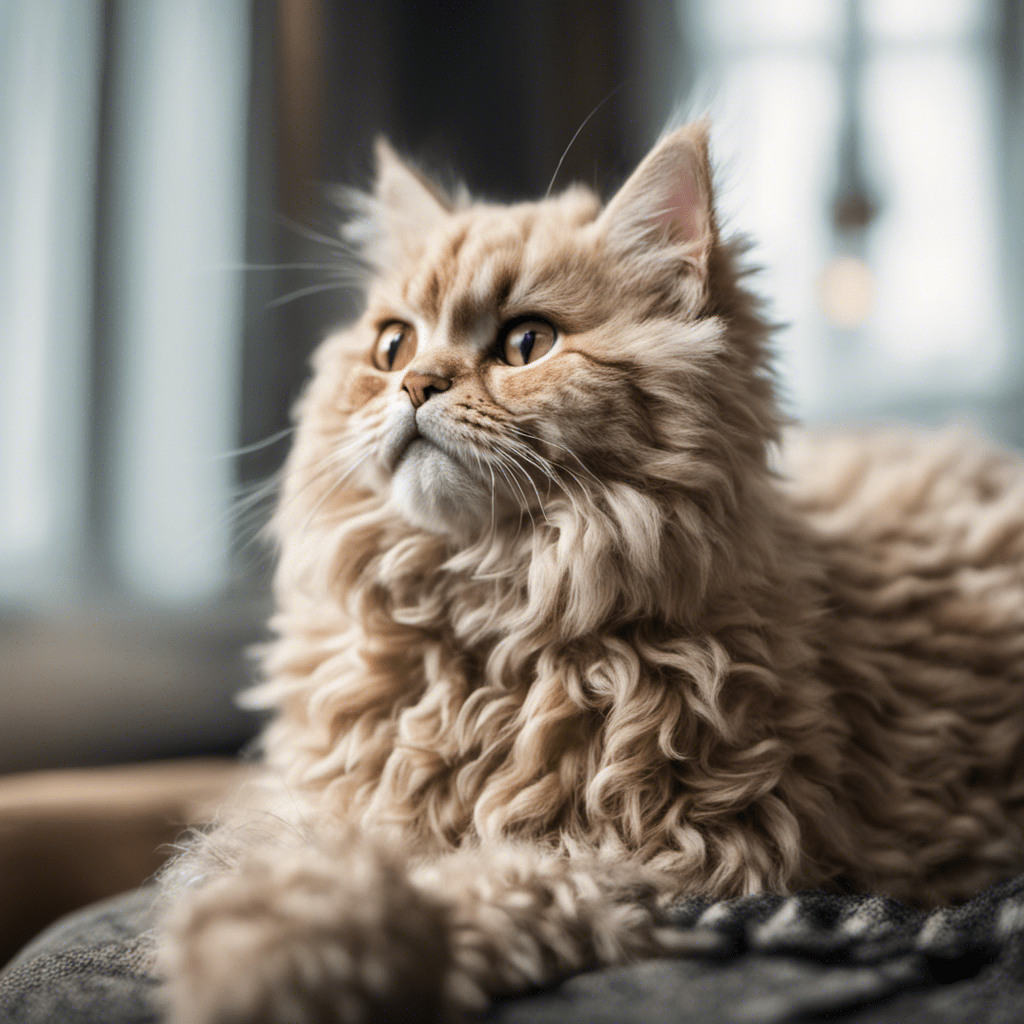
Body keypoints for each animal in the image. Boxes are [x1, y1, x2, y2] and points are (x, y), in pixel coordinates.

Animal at [155, 121, 1024, 1024]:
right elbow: (274, 855)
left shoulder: (672, 856)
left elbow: (490, 886)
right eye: (393, 345)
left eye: (526, 344)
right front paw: (258, 935)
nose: (416, 384)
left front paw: (296, 962)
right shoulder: (314, 799)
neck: (481, 618)